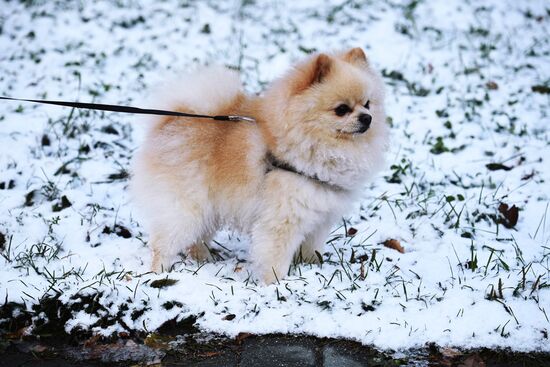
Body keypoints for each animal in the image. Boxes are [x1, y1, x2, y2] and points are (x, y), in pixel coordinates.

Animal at [132, 48, 390, 284]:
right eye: (342, 109)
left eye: (368, 104)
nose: (367, 118)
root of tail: (168, 121)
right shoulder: (282, 219)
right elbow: (275, 256)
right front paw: (275, 284)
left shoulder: (319, 218)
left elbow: (311, 248)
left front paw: (312, 268)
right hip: (185, 207)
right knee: (164, 242)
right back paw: (159, 271)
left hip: (208, 209)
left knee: (196, 239)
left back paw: (204, 259)